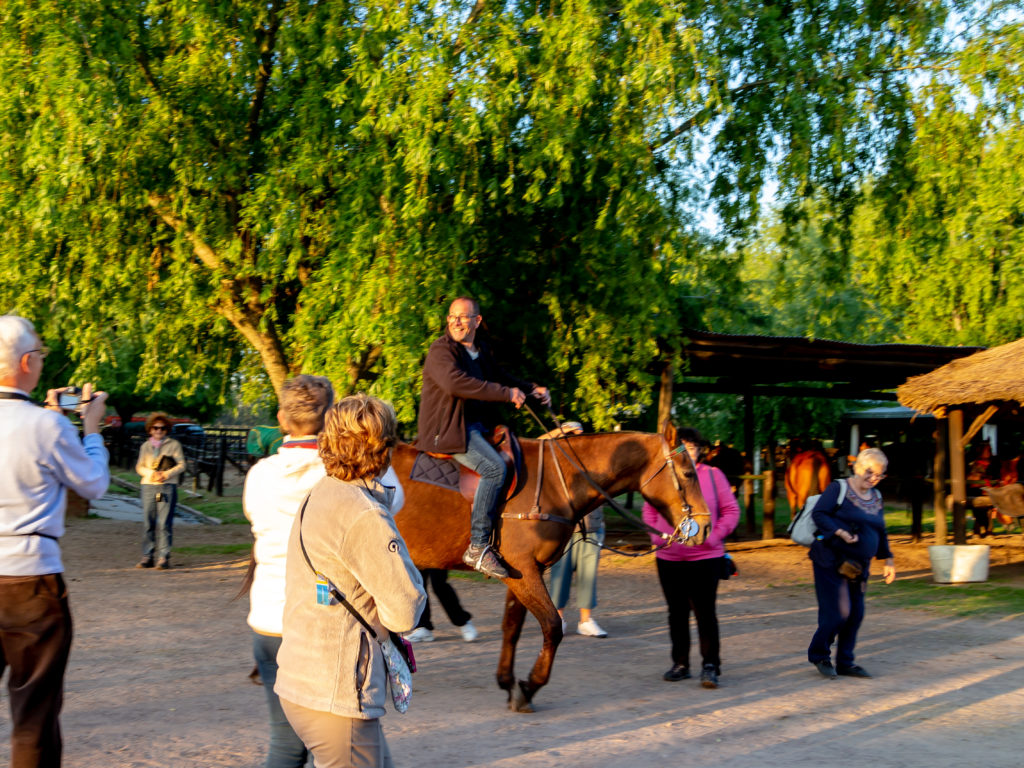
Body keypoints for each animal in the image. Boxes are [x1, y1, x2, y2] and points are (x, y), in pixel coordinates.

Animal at [387, 423, 708, 712]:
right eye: (688, 473)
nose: (704, 527)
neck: (557, 480)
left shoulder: (522, 573)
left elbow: (512, 628)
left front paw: (508, 681)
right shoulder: (525, 572)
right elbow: (553, 627)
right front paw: (530, 686)